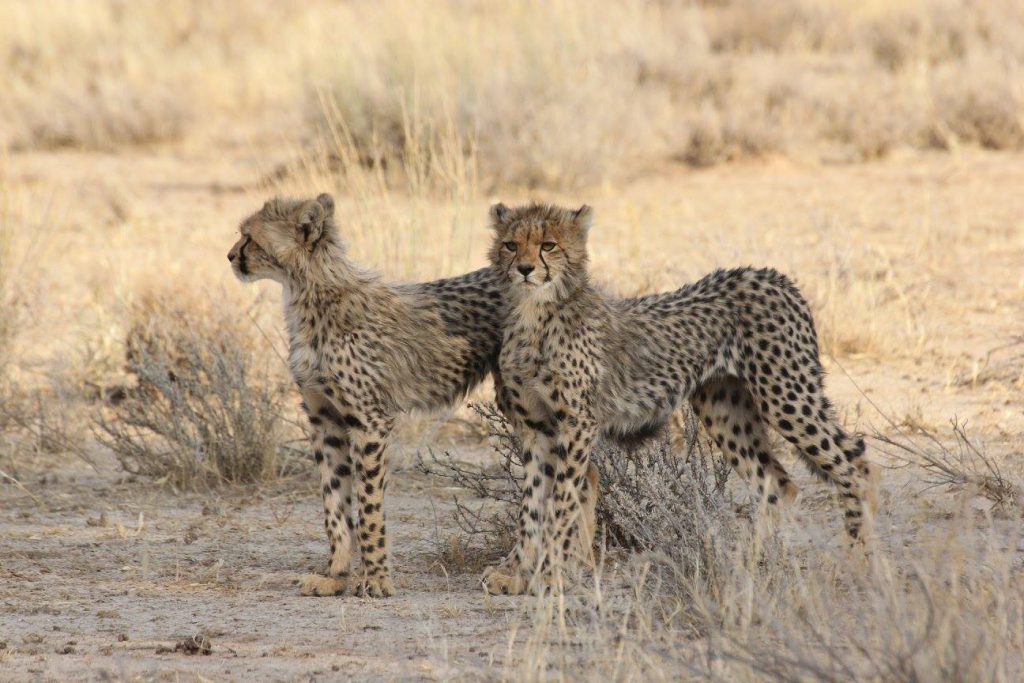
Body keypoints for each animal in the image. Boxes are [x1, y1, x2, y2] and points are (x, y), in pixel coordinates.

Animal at [228, 193, 524, 598]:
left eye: (250, 237)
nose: (230, 256)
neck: (310, 292)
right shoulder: (325, 420)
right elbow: (334, 502)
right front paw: (335, 575)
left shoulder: (370, 420)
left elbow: (368, 506)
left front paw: (377, 580)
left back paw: (519, 573)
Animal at [483, 201, 876, 593]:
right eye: (510, 245)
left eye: (548, 245)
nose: (525, 269)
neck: (535, 312)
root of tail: (772, 276)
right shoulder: (537, 429)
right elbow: (532, 503)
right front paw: (517, 574)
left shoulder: (577, 424)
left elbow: (561, 501)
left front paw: (550, 574)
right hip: (724, 410)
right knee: (777, 485)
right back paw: (747, 569)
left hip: (785, 397)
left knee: (855, 465)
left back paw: (859, 563)